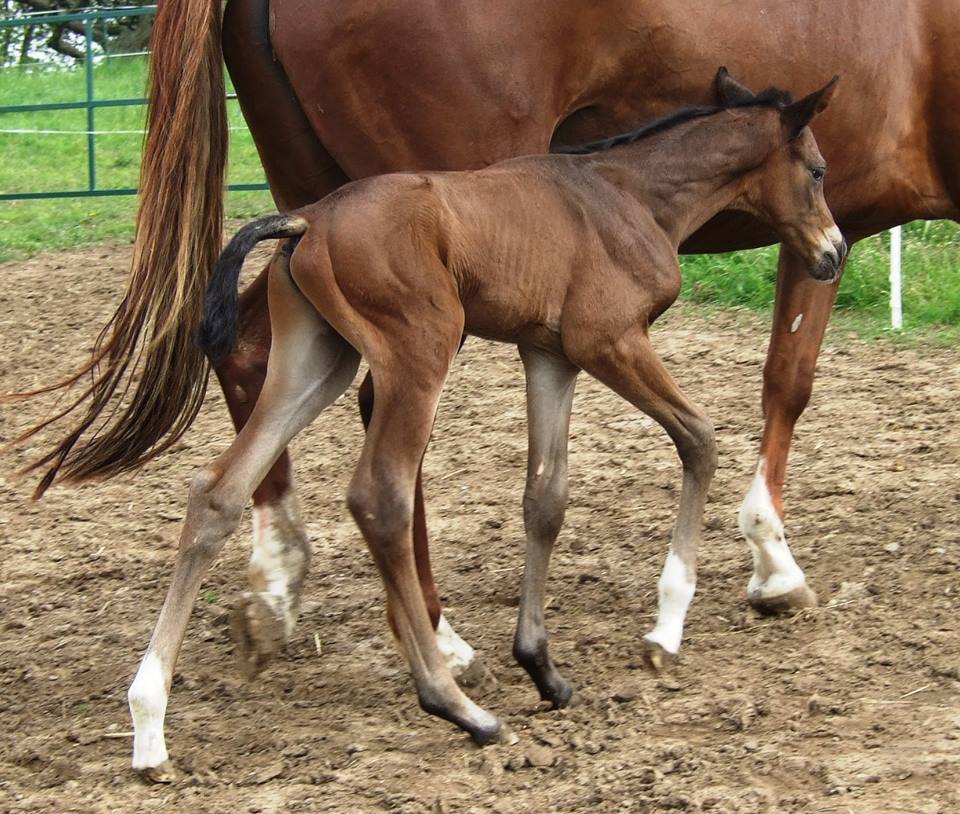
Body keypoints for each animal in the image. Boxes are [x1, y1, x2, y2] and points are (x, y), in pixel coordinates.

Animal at [125, 73, 840, 776]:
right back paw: (457, 705)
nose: (832, 253)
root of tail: (308, 220)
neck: (630, 195)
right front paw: (665, 629)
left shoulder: (551, 356)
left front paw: (542, 666)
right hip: (420, 348)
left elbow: (545, 499)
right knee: (380, 496)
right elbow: (699, 439)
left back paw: (149, 723)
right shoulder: (608, 341)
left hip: (316, 362)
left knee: (219, 491)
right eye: (818, 170)